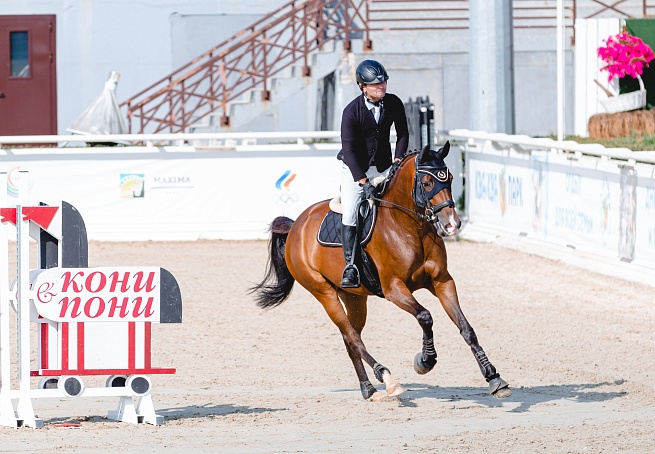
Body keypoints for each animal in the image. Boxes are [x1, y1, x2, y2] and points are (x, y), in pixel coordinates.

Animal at [251, 142, 512, 400]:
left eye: (449, 179)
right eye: (427, 183)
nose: (451, 225)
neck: (409, 227)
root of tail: (296, 224)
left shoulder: (442, 281)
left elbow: (466, 328)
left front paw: (494, 377)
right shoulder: (394, 289)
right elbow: (425, 316)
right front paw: (425, 361)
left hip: (354, 297)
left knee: (350, 338)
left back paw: (367, 388)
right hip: (323, 292)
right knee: (353, 338)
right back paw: (387, 378)